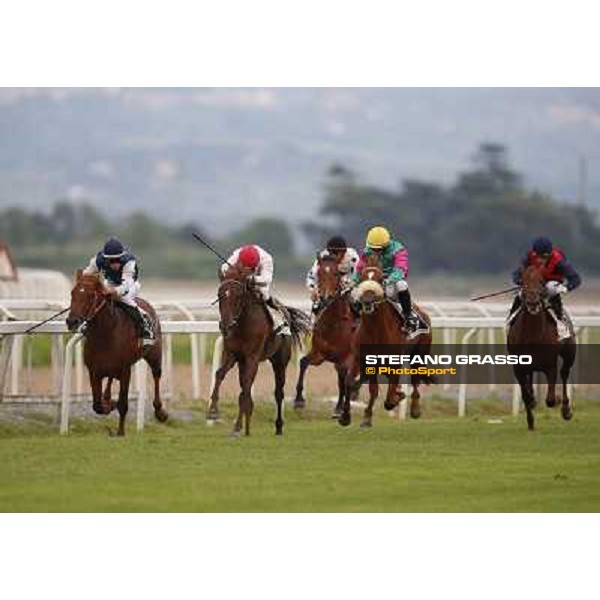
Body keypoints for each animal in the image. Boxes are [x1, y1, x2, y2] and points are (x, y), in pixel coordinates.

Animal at [65, 272, 168, 436]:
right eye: (72, 293)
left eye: (90, 295)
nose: (71, 321)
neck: (106, 334)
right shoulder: (94, 371)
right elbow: (97, 405)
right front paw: (108, 404)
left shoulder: (125, 370)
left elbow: (123, 404)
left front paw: (120, 432)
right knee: (110, 379)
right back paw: (107, 398)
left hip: (154, 355)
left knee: (156, 375)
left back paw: (160, 412)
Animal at [206, 264, 310, 438]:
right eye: (220, 295)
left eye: (238, 296)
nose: (225, 326)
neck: (242, 324)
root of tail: (286, 311)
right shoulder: (232, 354)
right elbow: (220, 374)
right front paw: (213, 411)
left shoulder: (252, 357)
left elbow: (247, 387)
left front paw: (237, 425)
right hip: (243, 362)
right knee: (243, 386)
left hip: (280, 361)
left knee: (278, 392)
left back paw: (278, 426)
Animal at [292, 253, 358, 418]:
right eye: (319, 273)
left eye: (336, 273)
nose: (326, 298)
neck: (333, 325)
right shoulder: (319, 354)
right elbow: (303, 362)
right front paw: (299, 400)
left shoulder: (346, 358)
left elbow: (345, 381)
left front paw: (342, 408)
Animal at [338, 255, 432, 428]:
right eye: (362, 277)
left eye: (380, 278)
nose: (367, 300)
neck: (376, 330)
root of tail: (422, 313)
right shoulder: (362, 358)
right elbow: (356, 384)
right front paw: (349, 416)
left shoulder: (394, 361)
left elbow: (388, 399)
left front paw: (396, 397)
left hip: (419, 354)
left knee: (416, 379)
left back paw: (415, 408)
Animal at [506, 264, 576, 428]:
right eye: (523, 282)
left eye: (541, 281)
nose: (532, 303)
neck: (533, 335)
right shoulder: (518, 367)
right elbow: (526, 395)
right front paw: (530, 421)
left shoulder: (550, 366)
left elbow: (550, 399)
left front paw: (557, 400)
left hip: (569, 354)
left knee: (564, 373)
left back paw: (566, 409)